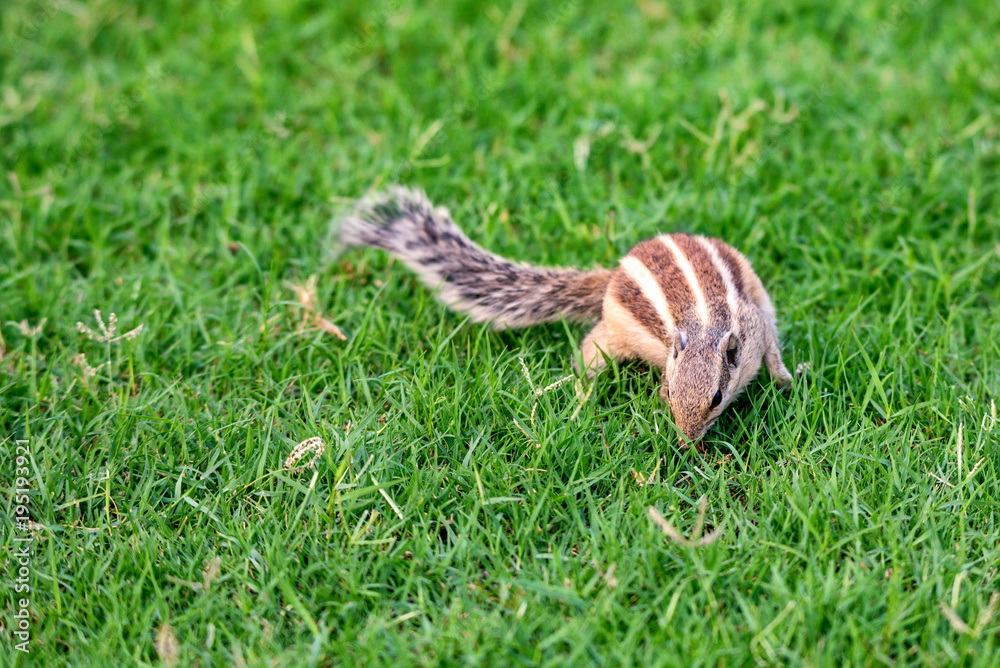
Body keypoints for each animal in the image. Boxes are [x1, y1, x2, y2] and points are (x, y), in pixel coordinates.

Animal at [337, 186, 793, 441]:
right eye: (668, 391)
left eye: (716, 399)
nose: (686, 441)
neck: (704, 327)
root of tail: (613, 275)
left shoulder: (754, 326)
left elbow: (770, 347)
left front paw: (785, 380)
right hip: (614, 332)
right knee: (590, 351)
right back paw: (579, 393)